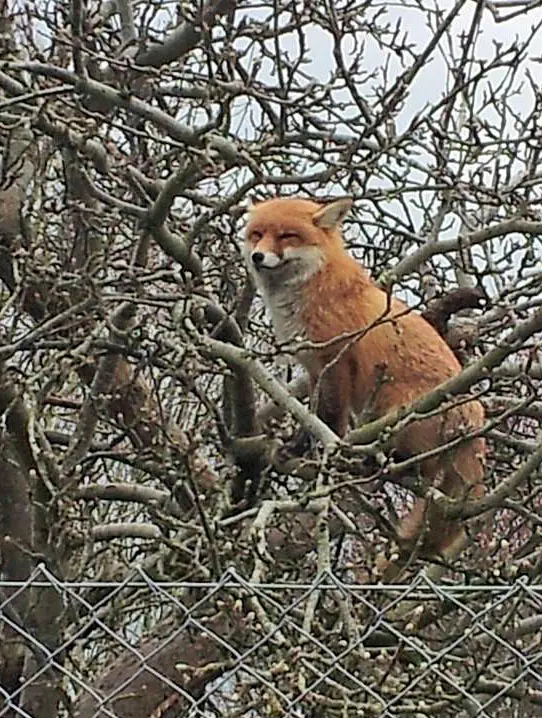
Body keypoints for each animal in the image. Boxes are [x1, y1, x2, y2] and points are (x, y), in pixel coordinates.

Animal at [244, 196, 486, 573]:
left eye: (286, 236)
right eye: (257, 235)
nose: (257, 256)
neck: (313, 289)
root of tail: (475, 430)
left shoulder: (337, 362)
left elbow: (328, 419)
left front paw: (311, 454)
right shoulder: (315, 368)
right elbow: (312, 416)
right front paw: (298, 446)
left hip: (395, 408)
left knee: (418, 465)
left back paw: (383, 461)